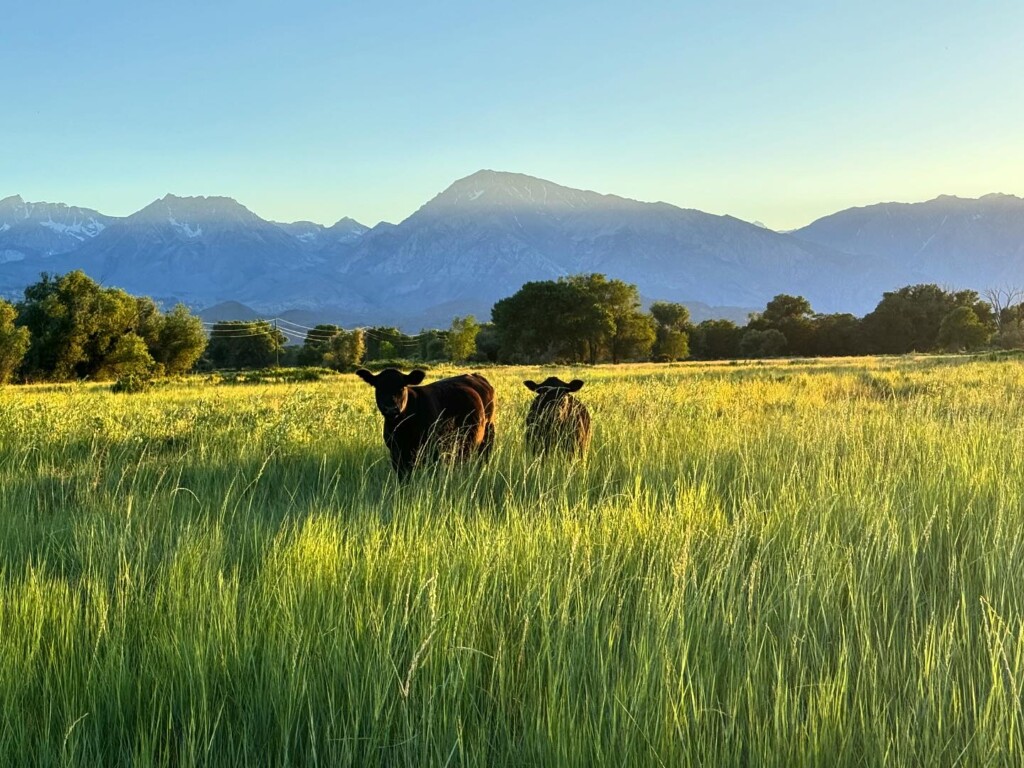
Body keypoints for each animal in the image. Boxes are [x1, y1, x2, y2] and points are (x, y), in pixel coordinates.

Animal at [356, 368, 495, 481]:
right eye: (379, 388)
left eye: (402, 387)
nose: (391, 409)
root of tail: (476, 376)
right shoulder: (396, 454)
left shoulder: (433, 450)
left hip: (487, 433)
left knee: (483, 457)